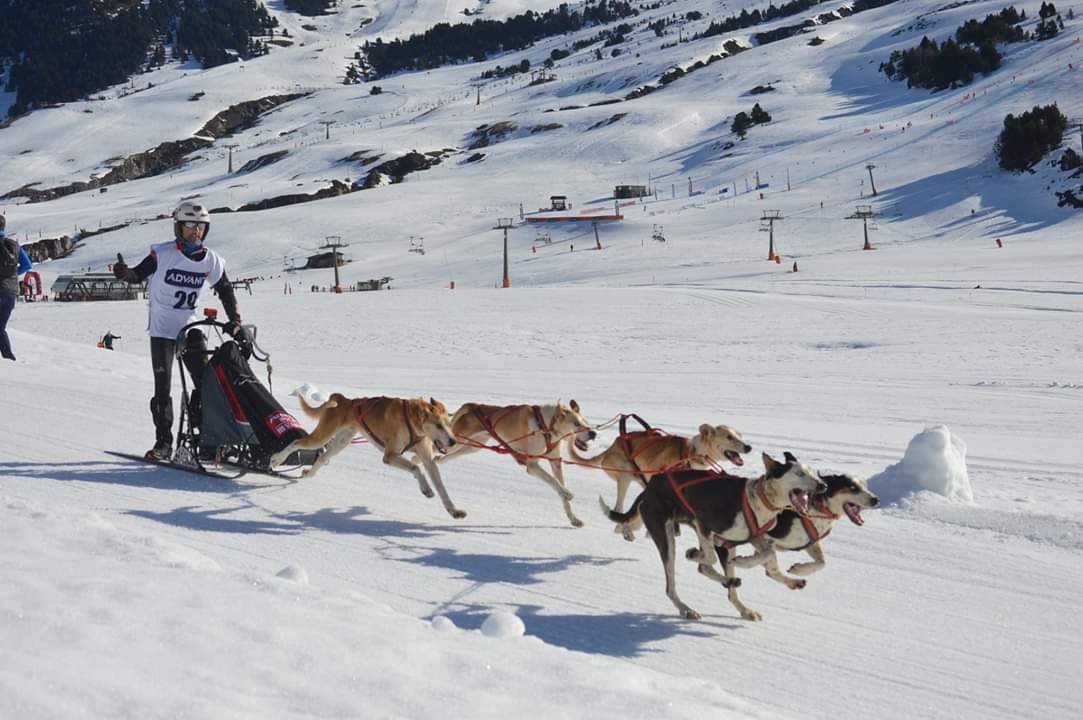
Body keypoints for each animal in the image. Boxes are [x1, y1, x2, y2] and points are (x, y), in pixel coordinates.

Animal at [270, 389, 465, 519]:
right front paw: (426, 489)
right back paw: (276, 459)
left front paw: (453, 510)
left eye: (449, 424)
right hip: (321, 437)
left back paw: (308, 473)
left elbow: (441, 487)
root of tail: (344, 400)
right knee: (296, 443)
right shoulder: (390, 456)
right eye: (438, 425)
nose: (453, 441)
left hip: (340, 443)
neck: (411, 421)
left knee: (323, 457)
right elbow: (416, 468)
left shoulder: (428, 459)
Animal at [435, 398, 597, 528]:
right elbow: (553, 482)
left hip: (471, 447)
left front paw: (573, 518)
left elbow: (560, 489)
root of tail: (473, 405)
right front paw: (567, 493)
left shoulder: (556, 463)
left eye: (586, 422)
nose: (593, 433)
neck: (545, 426)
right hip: (456, 442)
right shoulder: (532, 465)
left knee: (444, 458)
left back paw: (437, 462)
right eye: (576, 423)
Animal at [567, 422, 753, 517]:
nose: (749, 447)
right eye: (729, 437)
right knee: (618, 507)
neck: (690, 454)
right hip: (625, 477)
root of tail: (611, 447)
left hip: (642, 480)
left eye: (740, 435)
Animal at [606, 452, 823, 619]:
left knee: (715, 576)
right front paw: (695, 554)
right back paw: (686, 607)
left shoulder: (743, 540)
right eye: (799, 473)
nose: (823, 486)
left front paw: (752, 564)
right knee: (673, 584)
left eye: (813, 472)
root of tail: (649, 488)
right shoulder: (705, 525)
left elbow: (768, 554)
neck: (758, 499)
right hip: (667, 540)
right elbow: (708, 558)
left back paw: (742, 603)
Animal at [727, 472, 879, 584]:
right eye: (853, 487)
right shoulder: (763, 536)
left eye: (865, 486)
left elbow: (822, 562)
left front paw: (799, 570)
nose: (876, 499)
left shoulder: (811, 542)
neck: (815, 509)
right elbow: (767, 554)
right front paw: (743, 562)